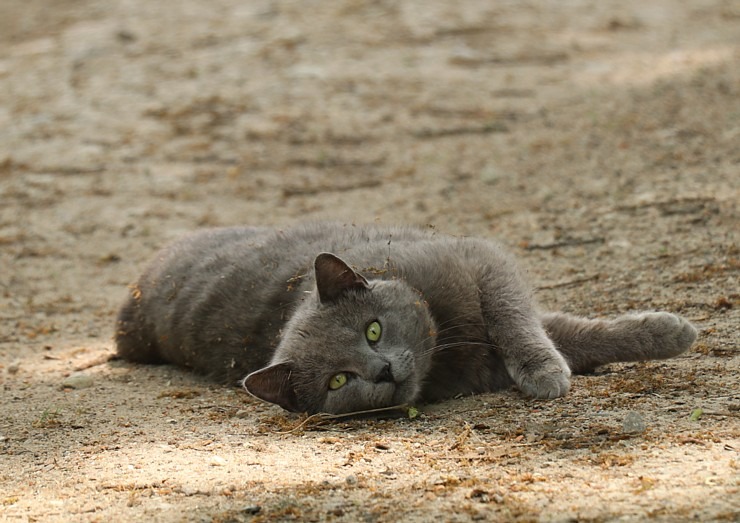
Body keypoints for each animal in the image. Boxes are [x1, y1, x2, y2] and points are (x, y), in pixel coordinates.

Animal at [112, 223, 696, 416]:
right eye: (338, 381)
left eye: (372, 330)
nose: (384, 372)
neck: (447, 343)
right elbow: (558, 334)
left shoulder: (479, 259)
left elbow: (522, 319)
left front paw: (670, 332)